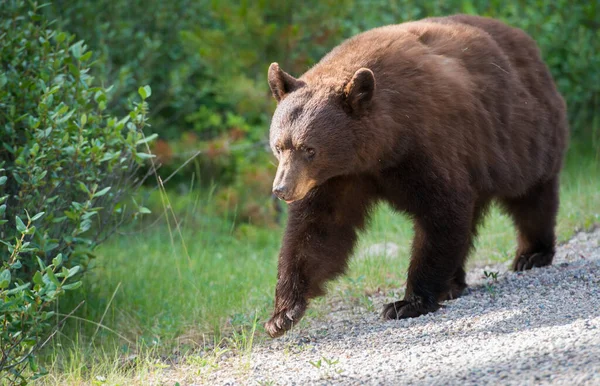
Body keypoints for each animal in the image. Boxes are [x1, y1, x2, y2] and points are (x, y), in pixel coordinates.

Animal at [262, 14, 568, 338]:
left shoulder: (427, 143)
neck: (380, 145)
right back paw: (455, 282)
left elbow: (441, 212)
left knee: (531, 195)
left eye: (309, 149)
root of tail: (528, 43)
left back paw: (532, 254)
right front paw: (282, 314)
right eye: (279, 146)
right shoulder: (339, 177)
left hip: (521, 134)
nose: (282, 189)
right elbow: (318, 230)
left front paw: (407, 302)